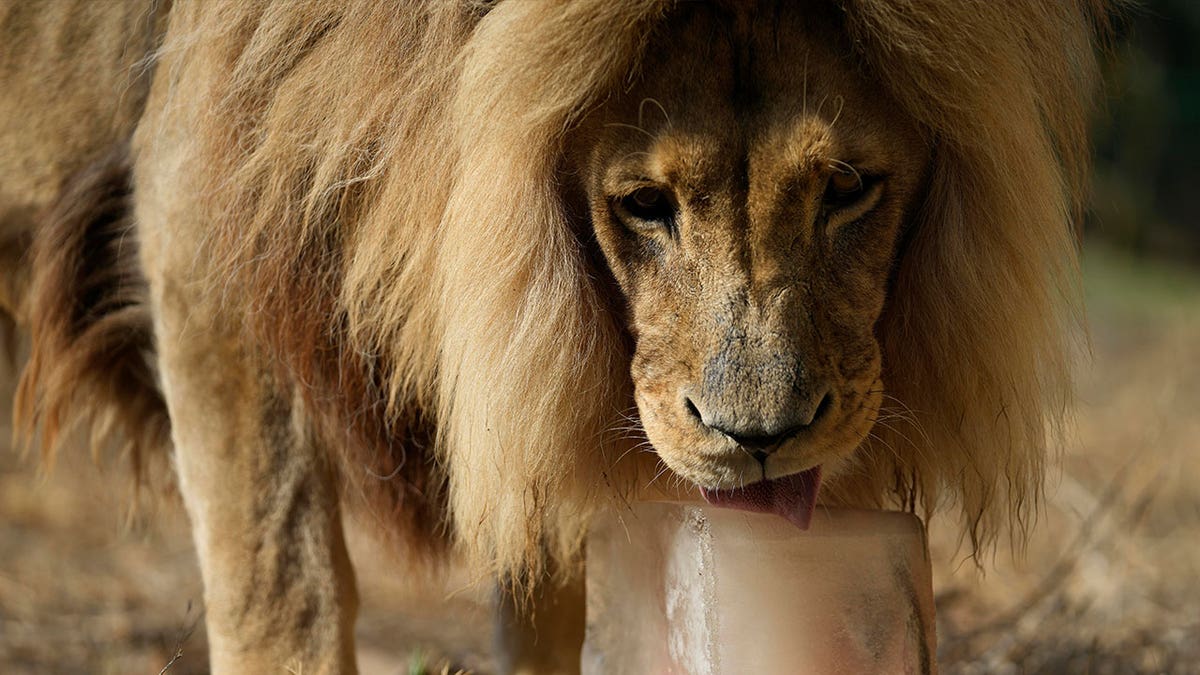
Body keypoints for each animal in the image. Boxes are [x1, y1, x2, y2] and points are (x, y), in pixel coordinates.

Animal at [0, 0, 1108, 667]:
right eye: (645, 205)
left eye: (846, 188)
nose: (759, 440)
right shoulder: (196, 240)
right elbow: (284, 598)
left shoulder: (520, 380)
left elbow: (542, 597)